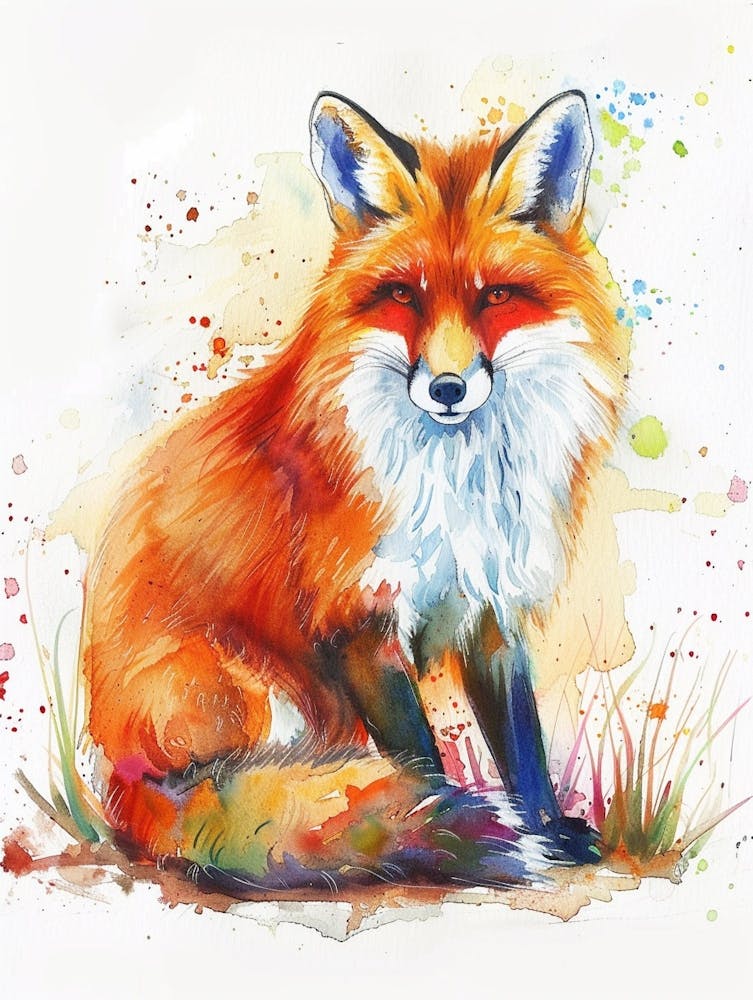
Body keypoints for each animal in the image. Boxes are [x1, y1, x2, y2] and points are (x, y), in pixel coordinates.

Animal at [82, 90, 629, 894]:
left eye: (495, 297)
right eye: (402, 295)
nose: (447, 388)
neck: (460, 484)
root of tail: (115, 788)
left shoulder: (491, 609)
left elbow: (521, 744)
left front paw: (545, 829)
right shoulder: (357, 615)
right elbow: (418, 761)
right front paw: (451, 834)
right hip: (246, 690)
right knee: (228, 791)